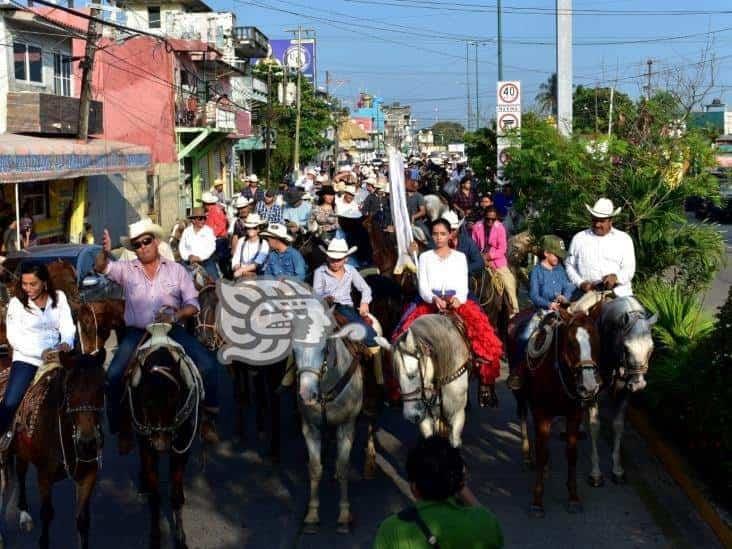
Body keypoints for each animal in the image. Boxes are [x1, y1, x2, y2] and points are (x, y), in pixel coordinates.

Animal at [0, 346, 105, 548]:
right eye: (69, 389)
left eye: (102, 388)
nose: (88, 443)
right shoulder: (44, 476)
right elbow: (47, 514)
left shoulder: (89, 474)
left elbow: (82, 520)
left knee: (21, 473)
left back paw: (24, 515)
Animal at [124, 324, 202, 544]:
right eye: (145, 400)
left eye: (175, 397)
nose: (161, 445)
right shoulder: (147, 447)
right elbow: (155, 495)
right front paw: (155, 536)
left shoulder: (182, 447)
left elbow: (175, 494)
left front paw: (180, 536)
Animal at [506, 310, 604, 516]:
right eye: (571, 343)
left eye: (596, 339)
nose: (589, 386)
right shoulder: (542, 413)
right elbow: (542, 452)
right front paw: (537, 501)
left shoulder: (573, 415)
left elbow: (572, 453)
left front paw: (573, 497)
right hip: (520, 395)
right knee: (522, 416)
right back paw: (527, 456)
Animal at [584, 298, 656, 486]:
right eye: (626, 347)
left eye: (651, 348)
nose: (638, 385)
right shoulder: (593, 392)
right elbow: (594, 426)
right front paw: (596, 473)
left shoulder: (625, 393)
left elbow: (618, 425)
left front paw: (617, 469)